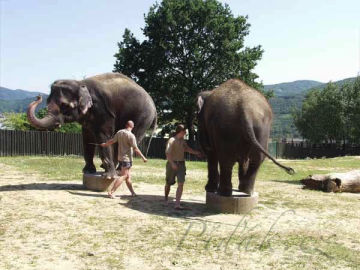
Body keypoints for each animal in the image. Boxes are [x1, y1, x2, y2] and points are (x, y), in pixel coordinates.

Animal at [27, 72, 157, 177]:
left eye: (64, 105)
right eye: (47, 101)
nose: (38, 96)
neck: (80, 83)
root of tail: (155, 108)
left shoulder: (102, 111)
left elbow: (103, 136)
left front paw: (109, 177)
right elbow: (87, 137)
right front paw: (88, 171)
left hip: (142, 118)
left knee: (130, 139)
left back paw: (119, 172)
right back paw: (109, 168)